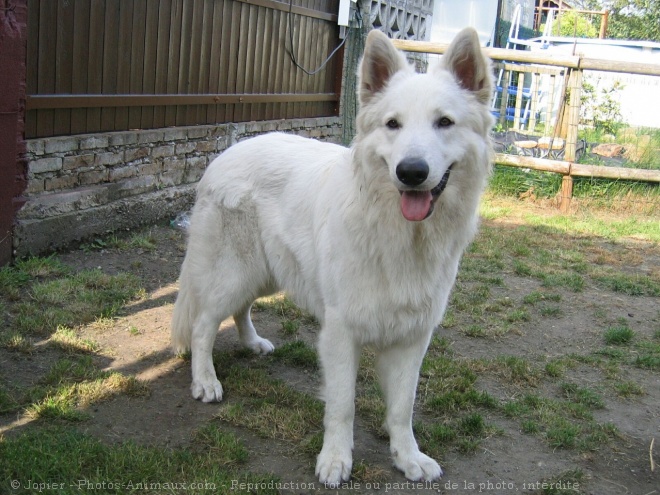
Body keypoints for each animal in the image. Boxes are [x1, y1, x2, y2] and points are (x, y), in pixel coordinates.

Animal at [173, 28, 492, 488]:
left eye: (444, 123)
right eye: (392, 124)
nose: (411, 172)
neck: (398, 233)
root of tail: (226, 153)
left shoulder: (412, 338)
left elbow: (403, 407)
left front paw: (408, 457)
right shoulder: (341, 333)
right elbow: (343, 406)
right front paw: (335, 461)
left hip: (266, 274)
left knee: (241, 309)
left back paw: (252, 343)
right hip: (233, 272)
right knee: (202, 325)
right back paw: (206, 381)